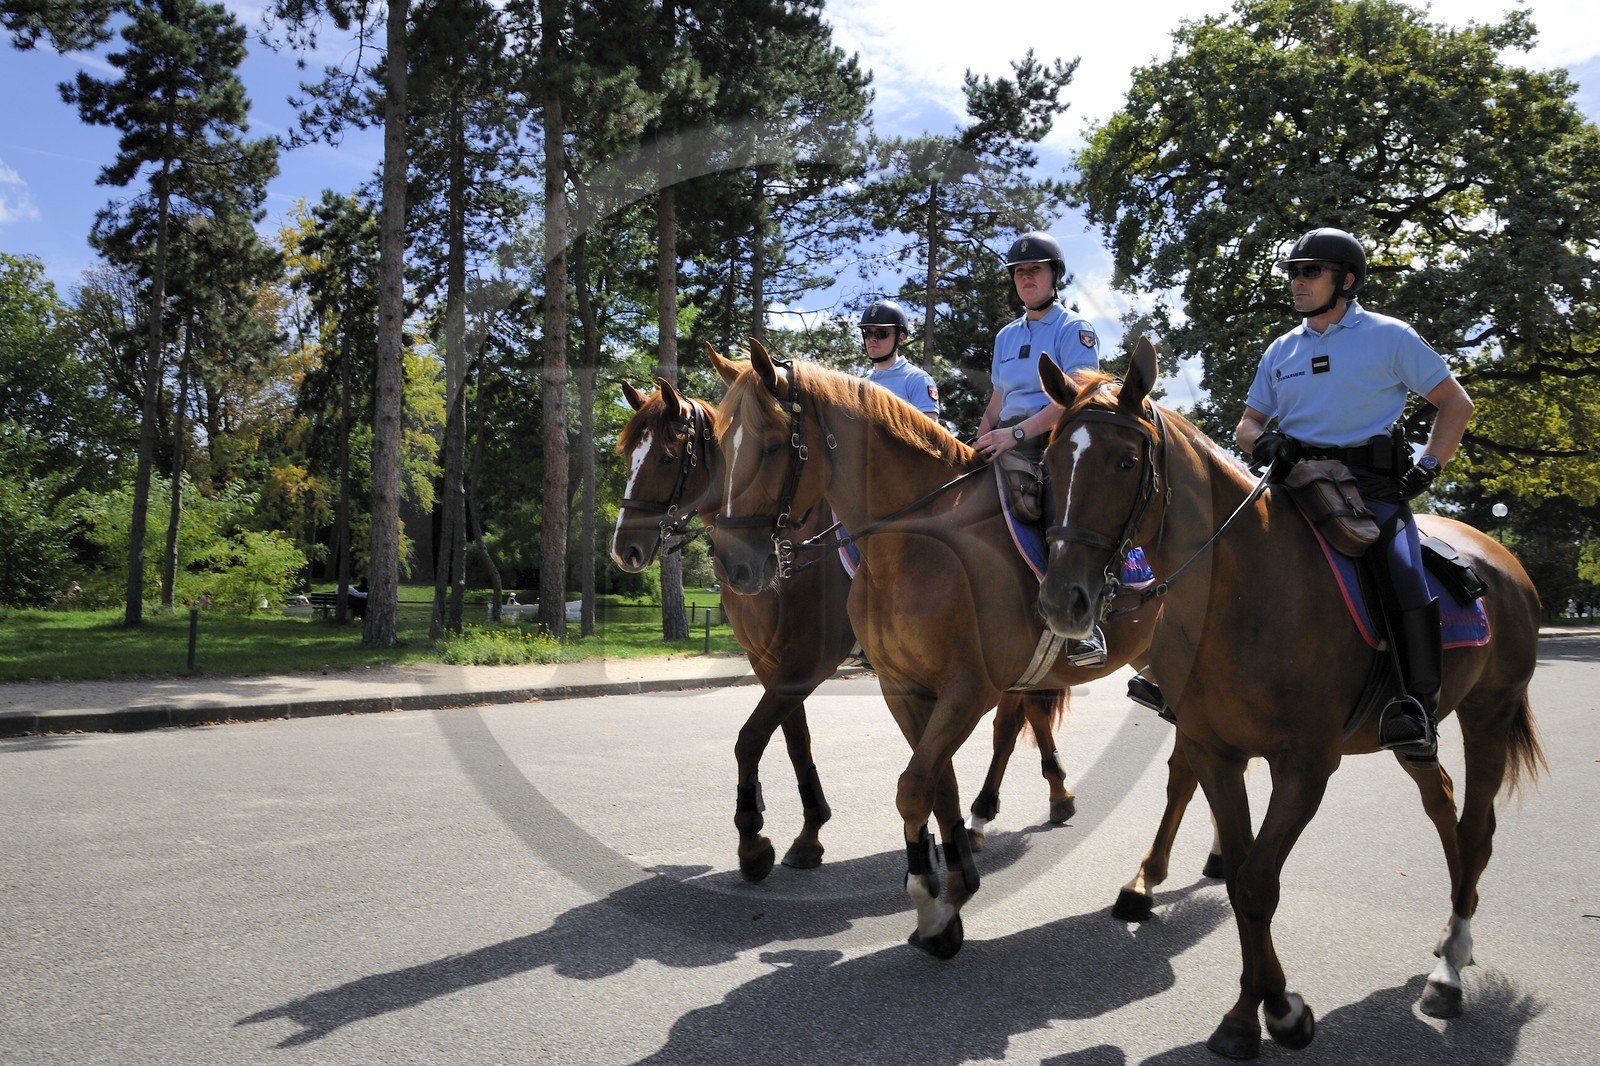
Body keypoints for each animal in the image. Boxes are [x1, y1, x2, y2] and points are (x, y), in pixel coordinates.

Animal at [609, 374, 1079, 885]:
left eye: (665, 458)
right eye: (625, 455)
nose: (624, 549)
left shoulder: (807, 660)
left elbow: (752, 738)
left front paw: (754, 841)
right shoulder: (770, 664)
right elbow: (795, 741)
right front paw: (809, 832)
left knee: (1011, 721)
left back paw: (1007, 805)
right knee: (1025, 714)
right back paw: (1039, 799)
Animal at [707, 339, 1160, 958]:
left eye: (773, 444)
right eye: (719, 446)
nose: (736, 565)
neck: (916, 543)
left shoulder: (967, 689)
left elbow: (914, 784)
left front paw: (932, 898)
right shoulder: (903, 688)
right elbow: (934, 783)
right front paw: (949, 886)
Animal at [1035, 337, 1545, 1058]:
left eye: (1127, 461)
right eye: (1050, 460)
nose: (1063, 599)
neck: (1245, 589)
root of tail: (1501, 556)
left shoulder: (1304, 766)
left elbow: (1256, 882)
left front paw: (1273, 1012)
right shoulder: (1216, 751)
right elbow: (1242, 875)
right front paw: (1256, 1011)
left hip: (1490, 712)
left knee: (1476, 829)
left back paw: (1451, 967)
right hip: (1413, 733)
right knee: (1444, 805)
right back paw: (1450, 939)